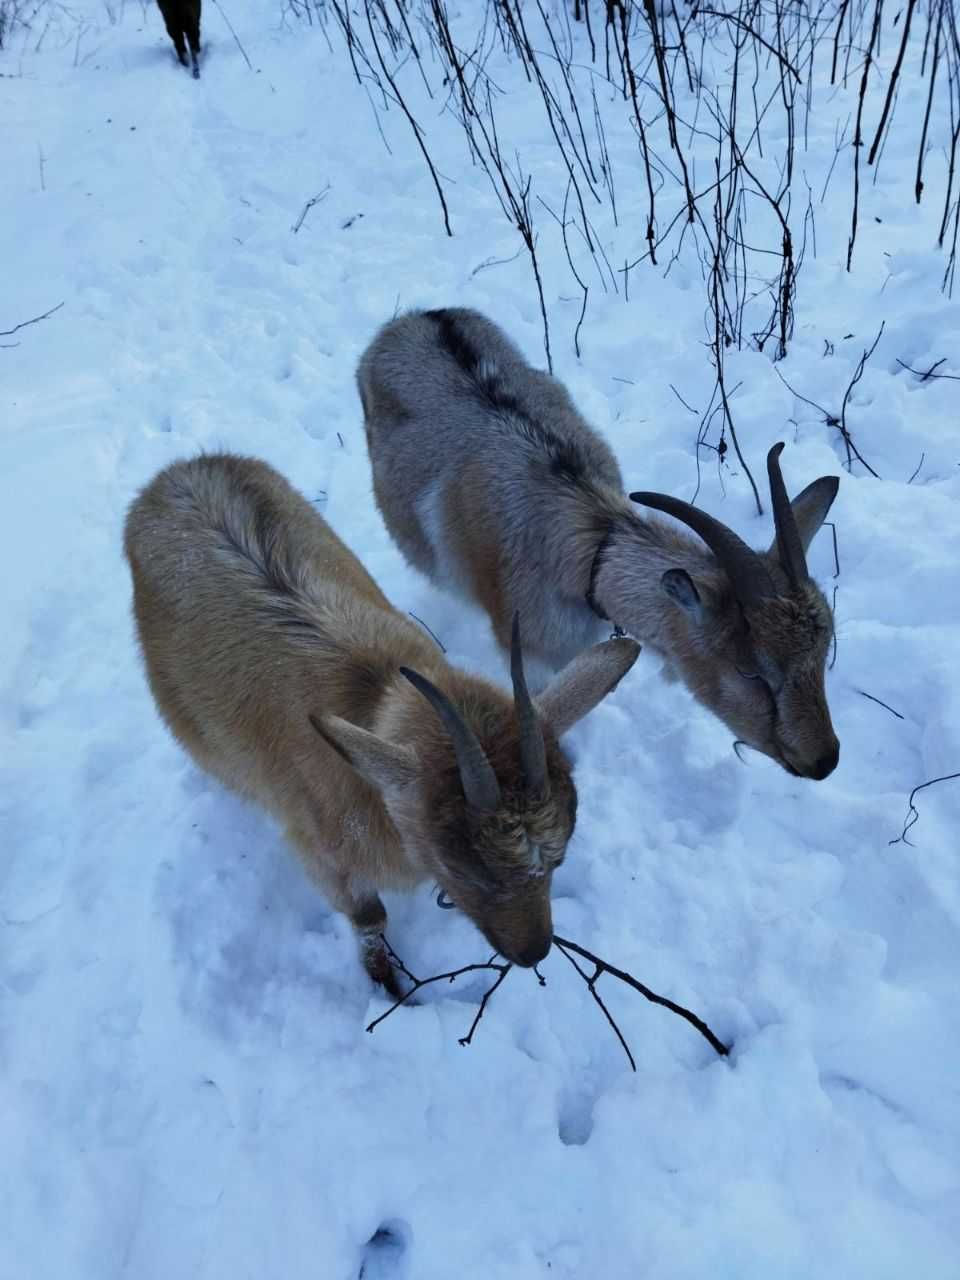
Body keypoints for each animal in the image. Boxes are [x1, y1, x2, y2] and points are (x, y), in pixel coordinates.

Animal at [124, 455, 642, 993]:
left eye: (559, 858)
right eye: (471, 873)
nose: (533, 951)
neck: (373, 700)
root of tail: (171, 475)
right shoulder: (319, 851)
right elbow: (369, 918)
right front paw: (388, 985)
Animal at [358, 308, 839, 783]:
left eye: (823, 654)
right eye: (750, 671)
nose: (824, 760)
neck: (589, 549)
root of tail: (414, 317)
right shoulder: (529, 652)